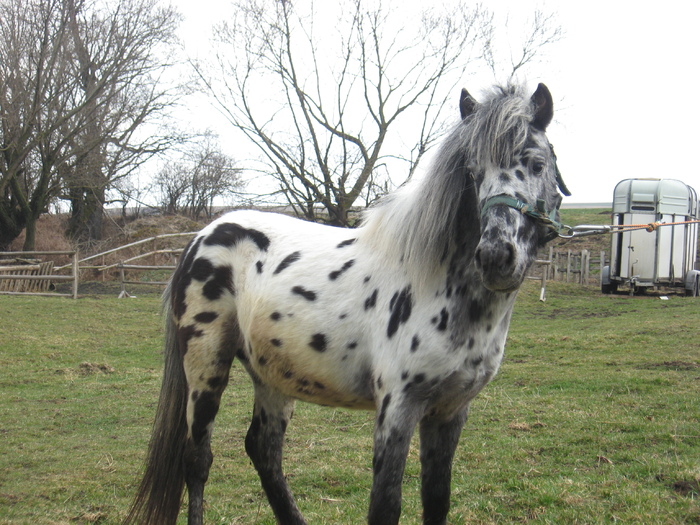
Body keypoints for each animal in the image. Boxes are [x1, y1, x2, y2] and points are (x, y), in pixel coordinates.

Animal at [126, 83, 568, 524]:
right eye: (473, 173)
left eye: (537, 164)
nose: (496, 257)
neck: (441, 285)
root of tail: (203, 236)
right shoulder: (398, 408)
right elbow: (385, 505)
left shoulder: (450, 411)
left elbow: (437, 500)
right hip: (205, 366)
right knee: (197, 460)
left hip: (271, 375)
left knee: (263, 450)